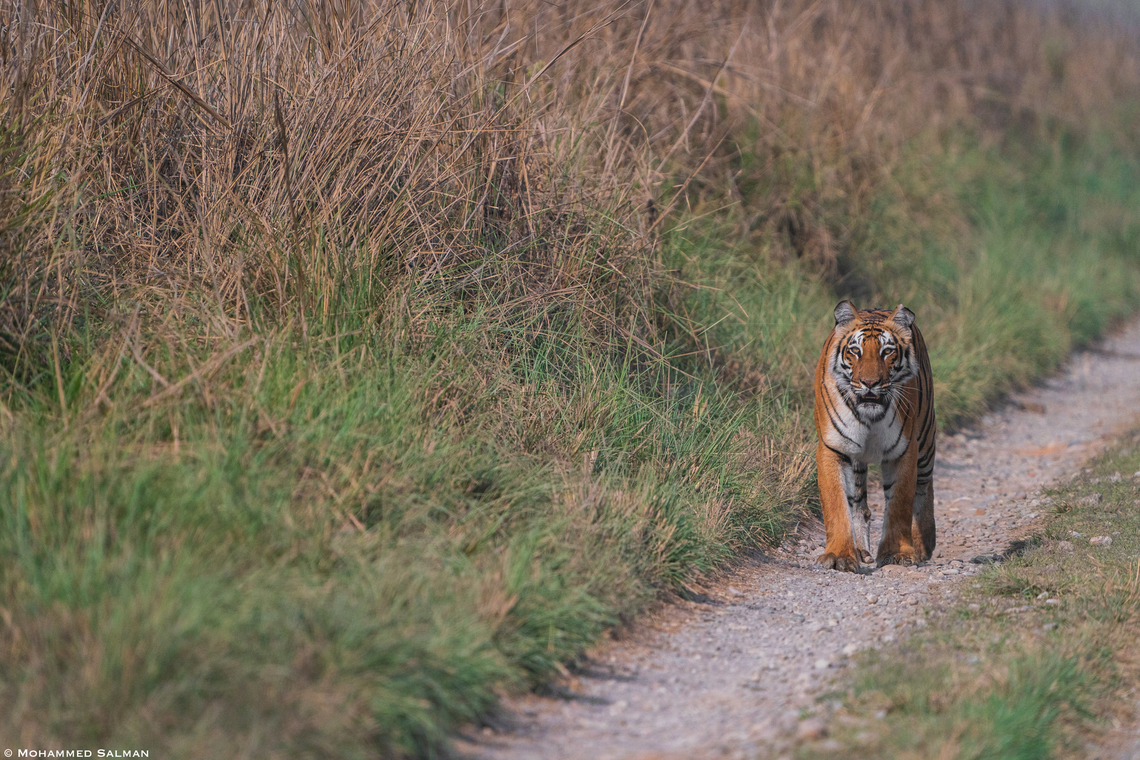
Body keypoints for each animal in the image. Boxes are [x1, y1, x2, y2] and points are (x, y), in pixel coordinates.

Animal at [813, 301, 936, 571]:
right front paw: (839, 555)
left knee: (924, 486)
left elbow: (900, 503)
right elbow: (836, 504)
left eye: (887, 351)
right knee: (859, 504)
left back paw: (924, 546)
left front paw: (897, 554)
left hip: (925, 440)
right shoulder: (833, 448)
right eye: (855, 351)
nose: (869, 383)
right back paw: (861, 551)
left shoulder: (904, 450)